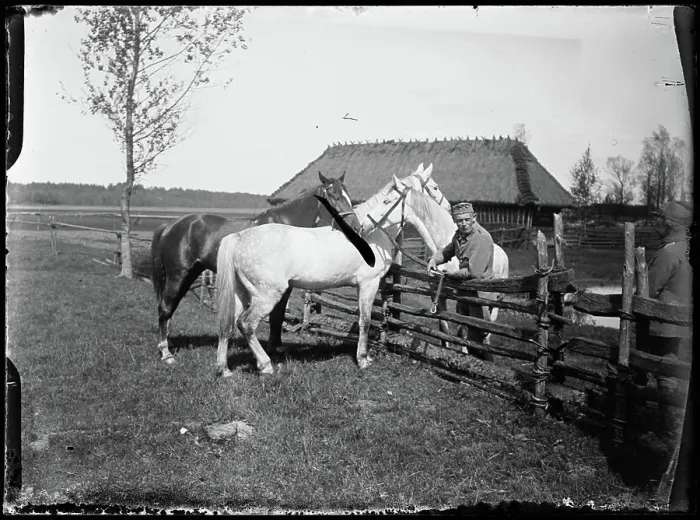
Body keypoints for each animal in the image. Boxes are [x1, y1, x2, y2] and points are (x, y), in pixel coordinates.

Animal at [150, 171, 360, 365]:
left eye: (349, 196)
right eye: (334, 196)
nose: (355, 226)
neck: (284, 227)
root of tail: (170, 225)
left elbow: (278, 317)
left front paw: (274, 349)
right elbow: (274, 317)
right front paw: (270, 352)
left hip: (189, 274)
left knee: (169, 308)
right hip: (179, 275)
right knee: (165, 308)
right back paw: (166, 354)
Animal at [214, 167, 446, 377]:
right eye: (434, 186)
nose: (446, 206)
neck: (373, 234)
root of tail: (238, 238)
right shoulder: (369, 284)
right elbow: (365, 321)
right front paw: (363, 359)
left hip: (240, 293)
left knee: (228, 323)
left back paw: (224, 369)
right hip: (266, 295)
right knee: (246, 324)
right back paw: (265, 365)